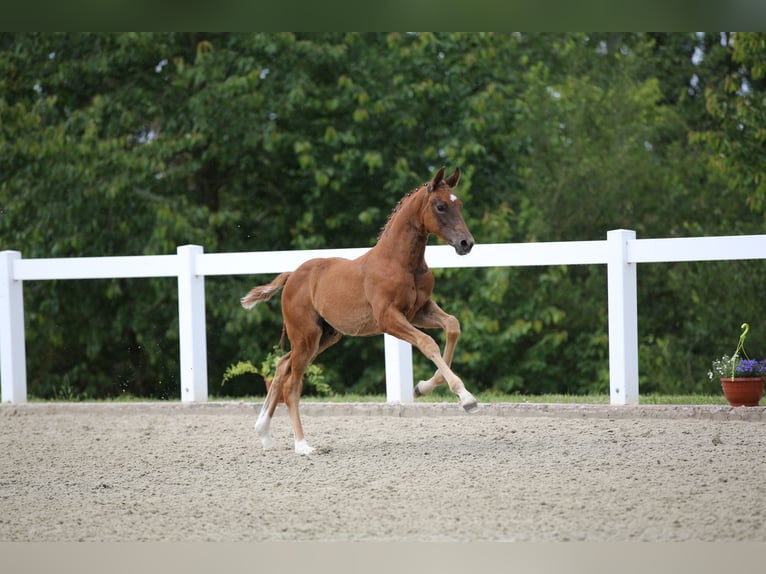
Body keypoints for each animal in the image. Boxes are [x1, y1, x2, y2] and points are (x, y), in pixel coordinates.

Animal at [243, 166, 476, 454]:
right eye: (441, 206)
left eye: (460, 204)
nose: (466, 243)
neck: (399, 262)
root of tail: (292, 276)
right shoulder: (388, 318)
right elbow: (427, 342)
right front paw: (466, 397)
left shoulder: (419, 311)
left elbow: (452, 325)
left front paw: (421, 387)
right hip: (306, 336)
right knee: (291, 383)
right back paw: (302, 445)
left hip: (325, 336)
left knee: (282, 364)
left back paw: (263, 432)